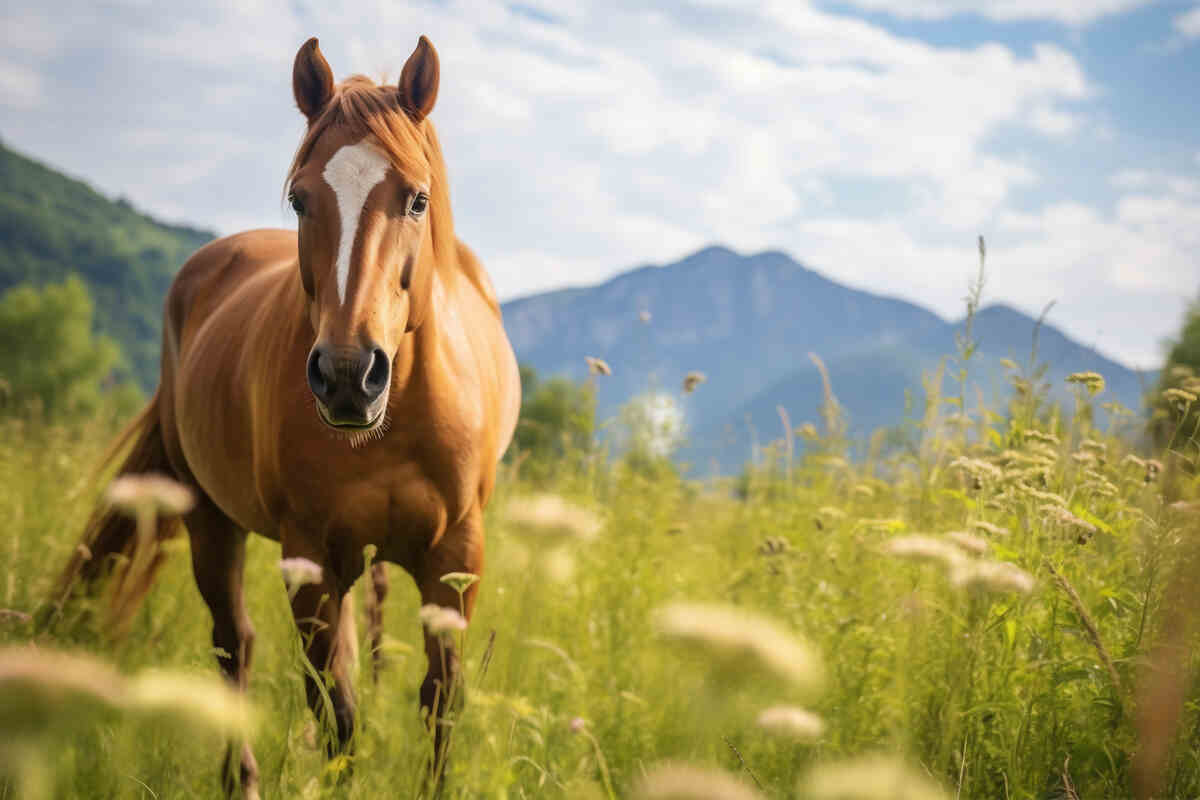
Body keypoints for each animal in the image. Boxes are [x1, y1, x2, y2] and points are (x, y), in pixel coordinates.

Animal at [53, 35, 521, 797]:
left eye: (417, 199)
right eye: (301, 199)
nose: (347, 375)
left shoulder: (457, 558)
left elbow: (439, 704)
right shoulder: (310, 559)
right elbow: (337, 714)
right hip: (211, 518)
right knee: (233, 645)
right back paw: (239, 777)